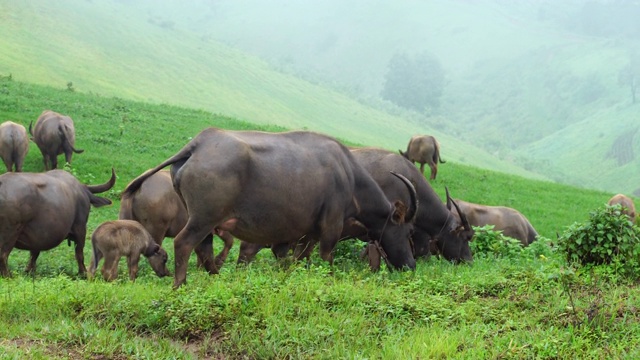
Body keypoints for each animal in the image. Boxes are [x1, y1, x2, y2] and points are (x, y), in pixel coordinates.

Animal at [122, 128, 418, 288]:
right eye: (406, 232)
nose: (411, 265)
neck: (350, 177)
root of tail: (197, 144)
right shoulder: (330, 227)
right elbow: (325, 257)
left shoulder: (299, 234)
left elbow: (291, 258)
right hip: (203, 218)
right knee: (184, 243)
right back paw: (180, 283)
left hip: (203, 220)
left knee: (204, 250)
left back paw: (216, 277)